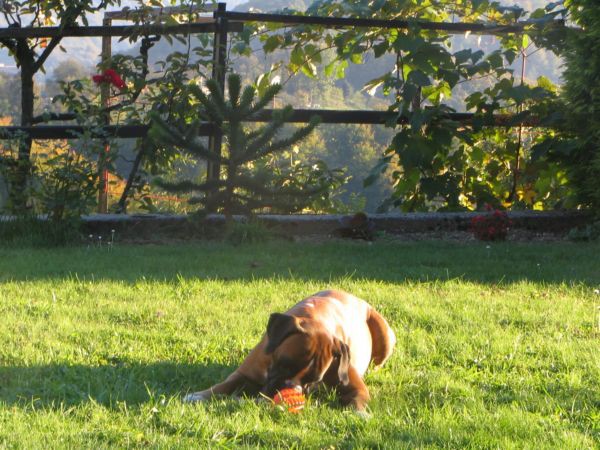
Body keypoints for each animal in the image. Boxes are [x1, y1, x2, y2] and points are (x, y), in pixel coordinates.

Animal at [185, 288, 396, 412]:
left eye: (313, 381)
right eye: (285, 365)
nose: (292, 389)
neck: (316, 317)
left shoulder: (355, 386)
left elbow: (357, 400)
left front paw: (359, 414)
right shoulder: (243, 374)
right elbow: (223, 385)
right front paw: (199, 395)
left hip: (386, 337)